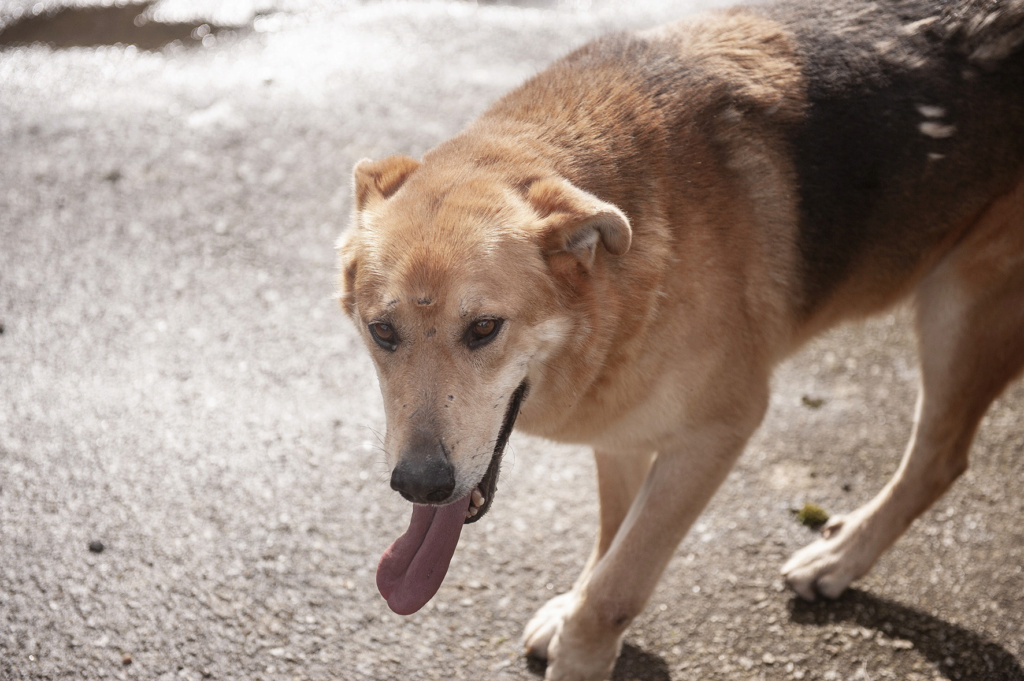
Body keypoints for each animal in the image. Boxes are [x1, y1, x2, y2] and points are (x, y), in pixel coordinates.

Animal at [335, 1, 1024, 675]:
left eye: (483, 329)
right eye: (382, 330)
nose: (419, 486)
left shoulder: (718, 431)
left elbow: (619, 583)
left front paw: (583, 654)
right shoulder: (620, 429)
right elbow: (612, 538)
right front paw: (575, 615)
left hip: (962, 313)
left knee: (937, 459)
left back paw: (840, 559)